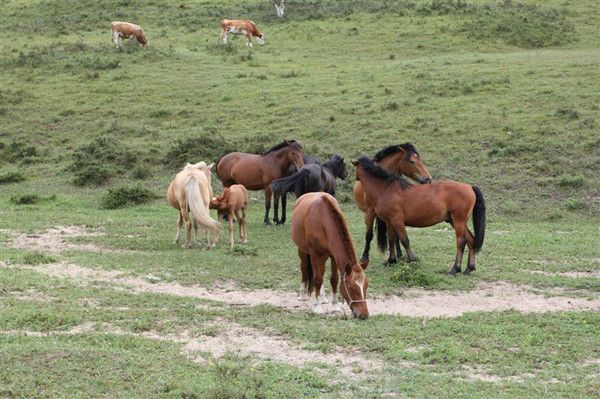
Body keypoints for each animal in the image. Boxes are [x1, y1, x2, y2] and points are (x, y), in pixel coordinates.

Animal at [292, 192, 370, 320]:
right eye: (351, 288)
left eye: (366, 286)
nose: (363, 315)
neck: (323, 220)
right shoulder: (314, 254)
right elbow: (317, 279)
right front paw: (317, 307)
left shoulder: (333, 255)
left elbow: (334, 279)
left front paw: (335, 306)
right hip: (302, 250)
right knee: (304, 269)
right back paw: (303, 295)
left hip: (323, 256)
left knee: (321, 271)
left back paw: (323, 297)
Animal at [352, 158, 488, 276]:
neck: (386, 189)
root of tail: (469, 186)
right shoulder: (389, 222)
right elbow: (391, 240)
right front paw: (391, 260)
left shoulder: (397, 221)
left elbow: (405, 240)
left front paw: (412, 260)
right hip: (456, 222)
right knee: (471, 240)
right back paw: (469, 269)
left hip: (459, 221)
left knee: (461, 242)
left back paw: (455, 269)